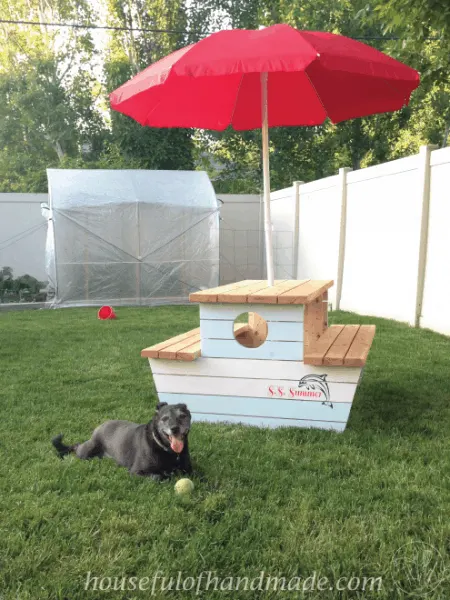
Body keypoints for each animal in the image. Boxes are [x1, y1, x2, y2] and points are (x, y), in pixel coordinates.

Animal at [51, 400, 192, 480]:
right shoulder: (136, 472)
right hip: (86, 451)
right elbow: (157, 476)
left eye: (182, 416)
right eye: (165, 418)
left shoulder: (189, 470)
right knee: (76, 447)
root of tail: (101, 425)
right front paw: (167, 475)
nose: (175, 429)